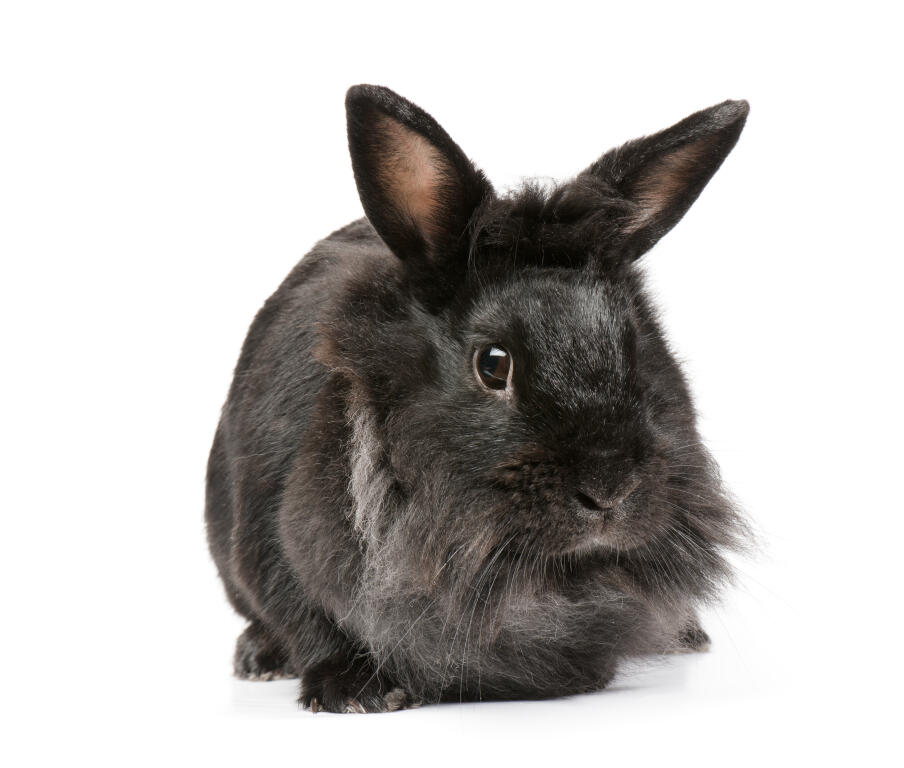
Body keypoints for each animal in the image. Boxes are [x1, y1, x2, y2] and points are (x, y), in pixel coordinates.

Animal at [205, 84, 748, 712]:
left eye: (637, 347)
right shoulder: (272, 539)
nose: (609, 490)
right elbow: (306, 617)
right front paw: (354, 693)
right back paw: (258, 659)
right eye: (493, 364)